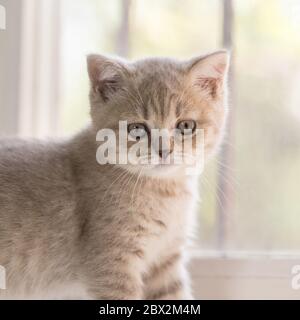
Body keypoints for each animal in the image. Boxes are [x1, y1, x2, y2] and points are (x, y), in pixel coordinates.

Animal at [0, 51, 229, 298]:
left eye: (186, 126)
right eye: (137, 129)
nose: (163, 151)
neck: (165, 193)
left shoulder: (165, 259)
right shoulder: (112, 266)